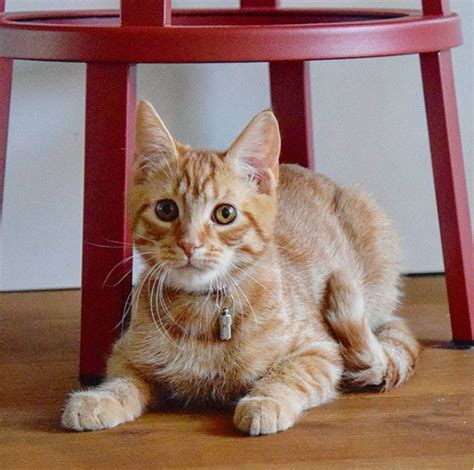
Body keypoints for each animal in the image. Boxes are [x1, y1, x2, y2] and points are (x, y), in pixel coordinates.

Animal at [60, 101, 418, 436]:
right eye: (166, 209)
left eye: (225, 214)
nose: (189, 244)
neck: (202, 313)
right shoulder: (126, 353)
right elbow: (121, 380)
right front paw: (99, 398)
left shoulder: (319, 351)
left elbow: (289, 375)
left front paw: (265, 400)